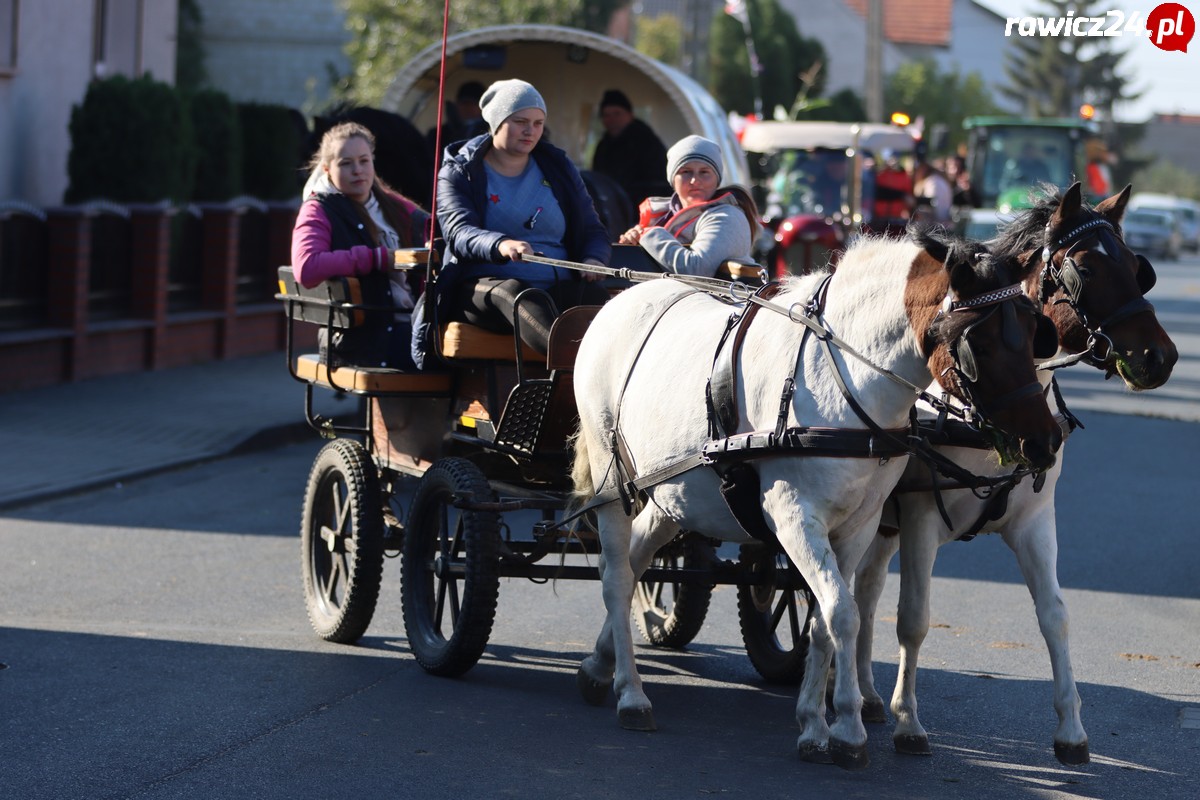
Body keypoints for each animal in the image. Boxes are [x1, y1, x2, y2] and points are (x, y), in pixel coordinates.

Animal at [571, 232, 1070, 767]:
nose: (1043, 442)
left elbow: (825, 619)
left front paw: (816, 723)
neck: (842, 377)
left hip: (675, 493)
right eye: (981, 343)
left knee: (639, 555)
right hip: (611, 480)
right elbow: (843, 614)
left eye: (1034, 331)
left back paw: (600, 665)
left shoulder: (858, 526)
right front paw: (848, 728)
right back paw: (630, 693)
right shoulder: (795, 520)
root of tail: (621, 299)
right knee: (617, 577)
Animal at [859, 181, 1176, 762]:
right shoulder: (920, 518)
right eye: (1085, 270)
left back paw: (864, 694)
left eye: (1136, 265)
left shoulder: (1033, 521)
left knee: (864, 588)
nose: (1160, 357)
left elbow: (1055, 615)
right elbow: (914, 619)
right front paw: (909, 721)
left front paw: (1071, 728)